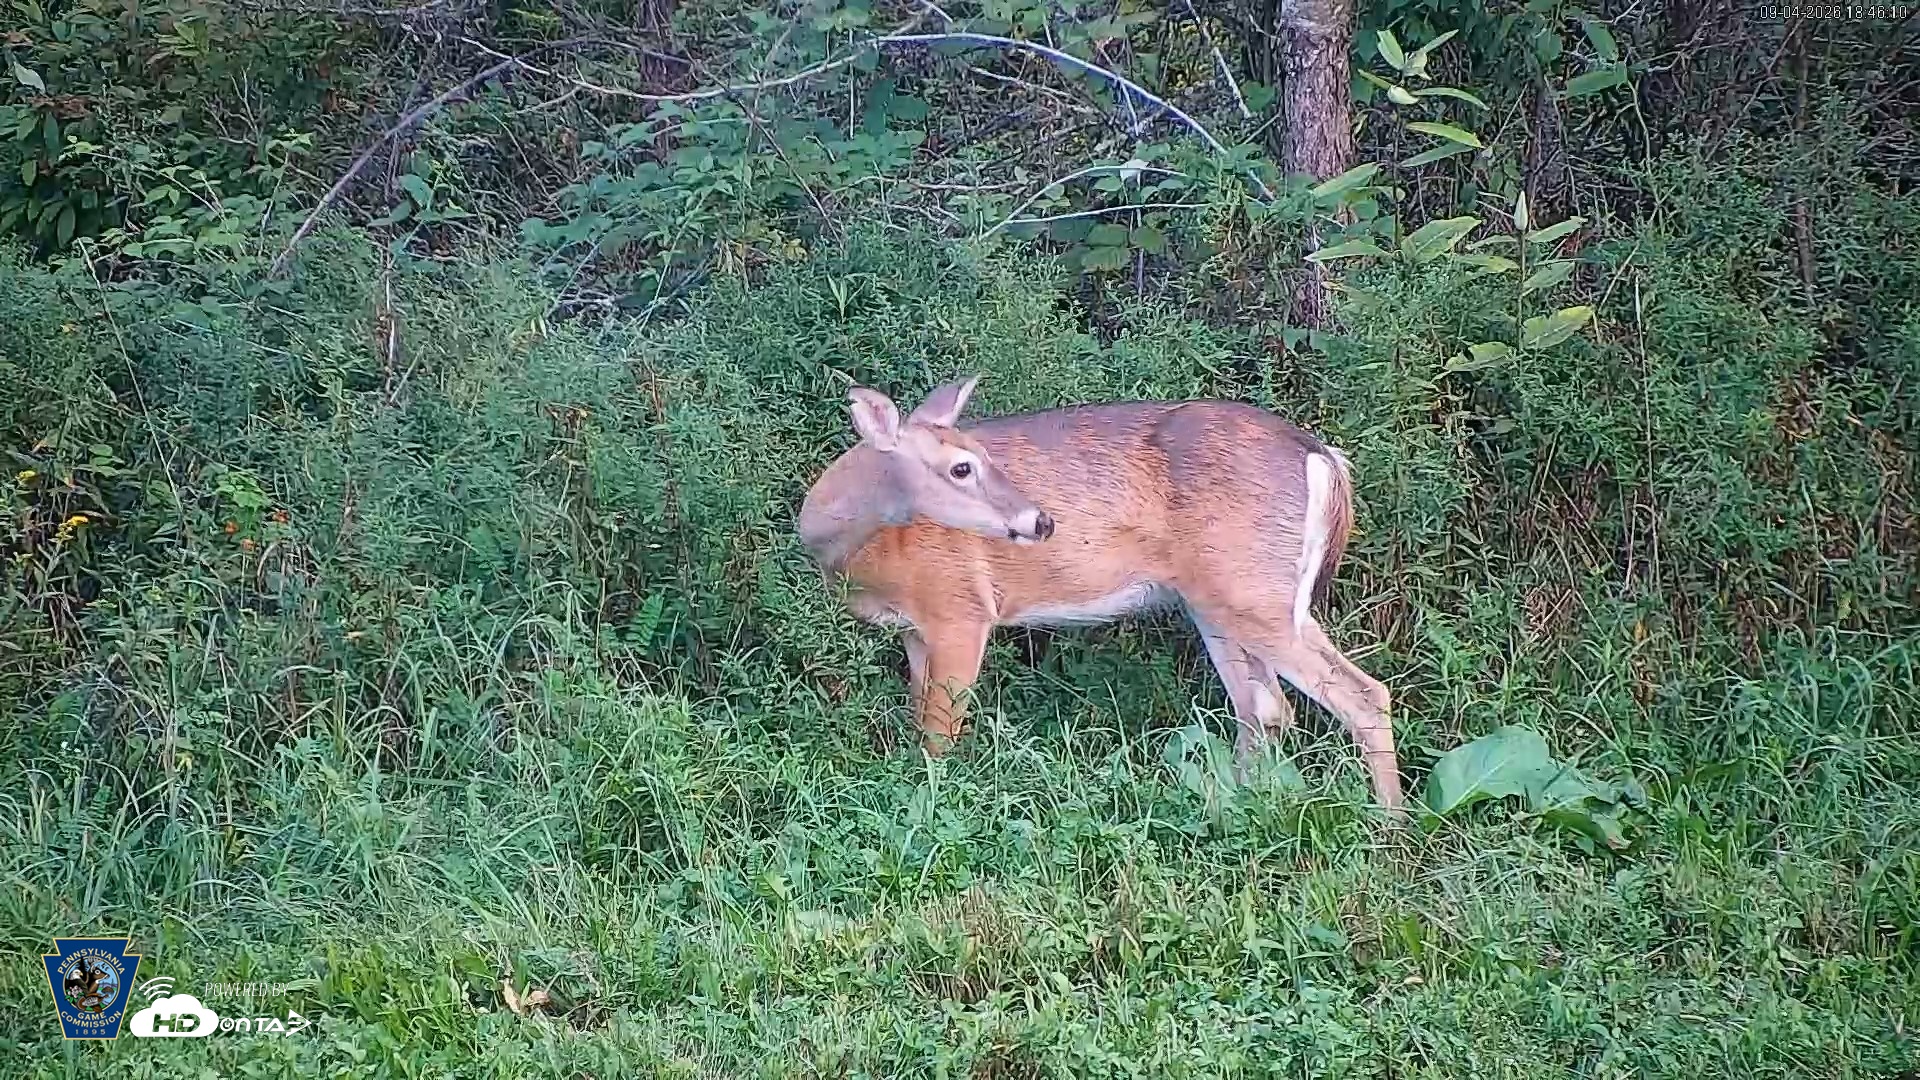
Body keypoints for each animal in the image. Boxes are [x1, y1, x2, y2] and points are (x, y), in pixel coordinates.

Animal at [796, 375, 1403, 812]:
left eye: (979, 457)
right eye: (962, 466)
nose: (1041, 521)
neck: (850, 552)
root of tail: (1322, 455)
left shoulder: (960, 610)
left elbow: (938, 734)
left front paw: (934, 804)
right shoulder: (913, 632)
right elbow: (916, 717)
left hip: (1250, 590)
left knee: (1361, 695)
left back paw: (1389, 826)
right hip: (1231, 599)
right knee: (1266, 707)